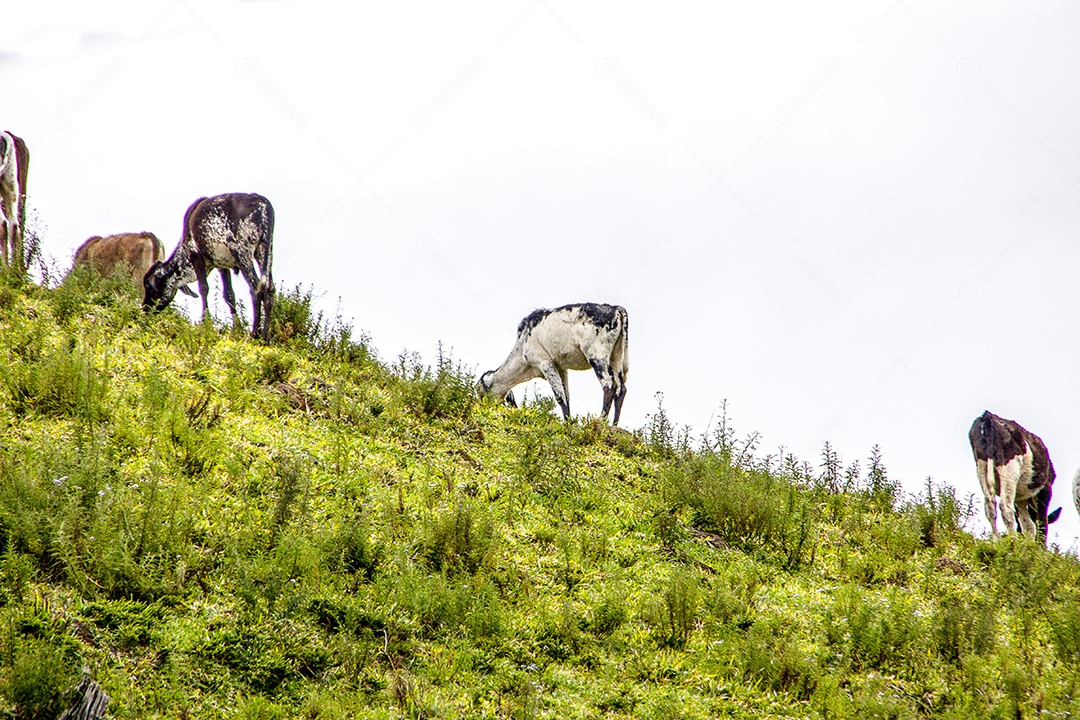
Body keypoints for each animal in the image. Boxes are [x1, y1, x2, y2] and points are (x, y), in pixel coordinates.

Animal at [143, 193, 275, 341]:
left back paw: (255, 333)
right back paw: (266, 336)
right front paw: (237, 328)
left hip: (242, 253)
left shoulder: (196, 256)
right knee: (269, 288)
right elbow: (229, 295)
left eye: (148, 286)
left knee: (256, 289)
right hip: (264, 250)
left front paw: (206, 322)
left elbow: (203, 289)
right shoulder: (222, 265)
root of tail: (261, 201)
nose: (144, 309)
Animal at [478, 303, 629, 425]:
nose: (482, 408)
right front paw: (569, 422)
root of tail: (616, 309)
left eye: (481, 394)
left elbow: (560, 397)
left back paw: (601, 421)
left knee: (609, 386)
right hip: (617, 356)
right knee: (621, 389)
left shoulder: (545, 363)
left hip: (597, 355)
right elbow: (566, 396)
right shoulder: (561, 368)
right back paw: (614, 425)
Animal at [969, 410, 1061, 545]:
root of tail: (987, 416)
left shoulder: (1020, 498)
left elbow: (1027, 525)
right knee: (1006, 508)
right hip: (1009, 468)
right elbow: (1041, 522)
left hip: (981, 465)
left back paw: (996, 543)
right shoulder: (1045, 489)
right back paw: (1012, 543)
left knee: (990, 507)